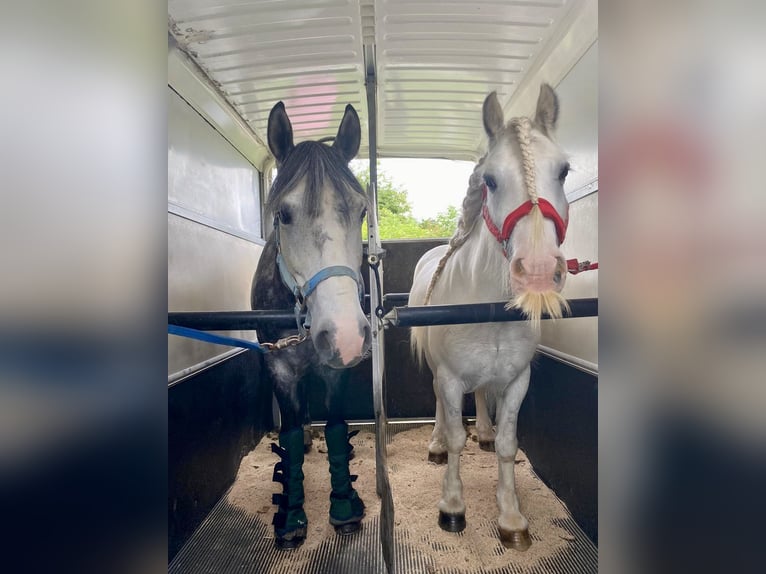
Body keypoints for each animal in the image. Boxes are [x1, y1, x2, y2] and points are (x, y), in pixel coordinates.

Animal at [412, 85, 572, 552]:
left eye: (565, 171)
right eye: (490, 180)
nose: (537, 271)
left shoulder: (518, 380)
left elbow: (506, 443)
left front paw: (512, 517)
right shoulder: (449, 378)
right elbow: (456, 437)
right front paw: (452, 507)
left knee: (482, 396)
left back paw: (481, 430)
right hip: (438, 374)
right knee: (441, 409)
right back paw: (435, 444)